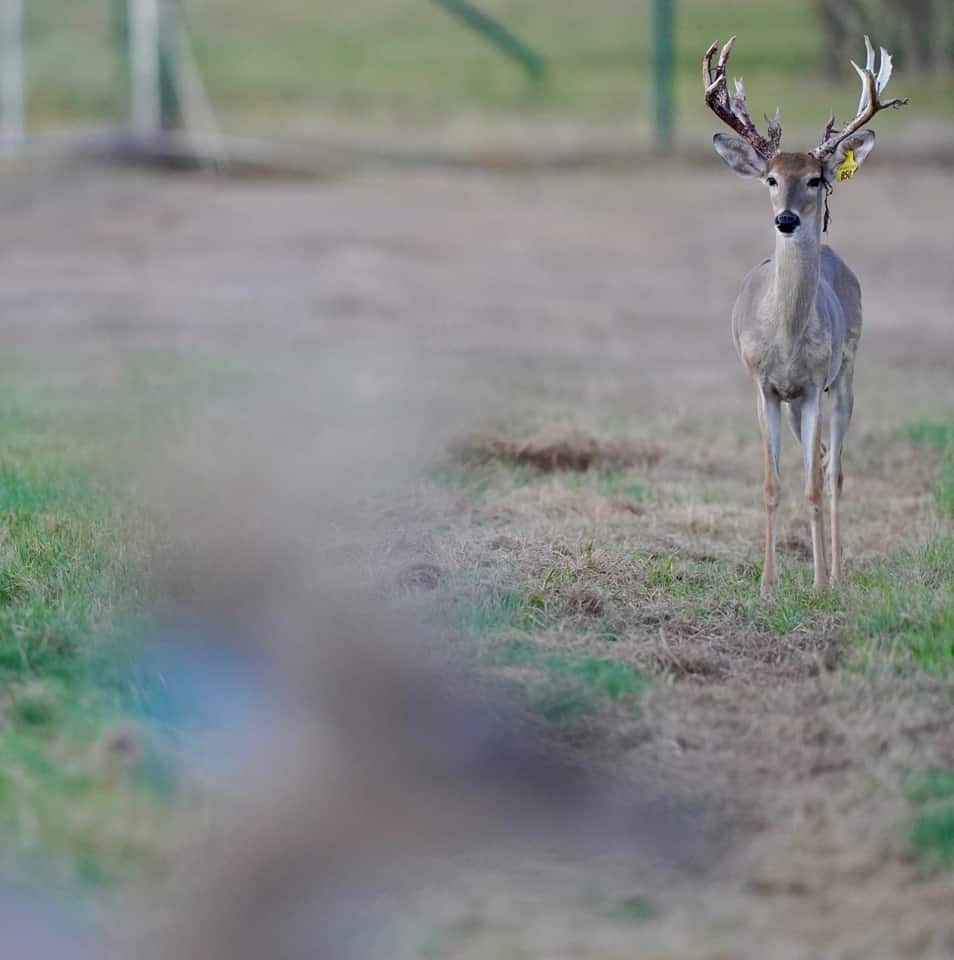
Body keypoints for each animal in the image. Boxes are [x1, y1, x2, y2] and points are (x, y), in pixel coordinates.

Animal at [704, 36, 907, 595]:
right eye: (772, 178)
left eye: (816, 179)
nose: (787, 219)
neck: (788, 339)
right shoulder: (764, 385)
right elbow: (772, 483)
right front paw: (768, 585)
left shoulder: (816, 383)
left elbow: (816, 487)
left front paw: (818, 583)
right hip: (795, 404)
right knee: (810, 463)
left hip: (846, 376)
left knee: (833, 472)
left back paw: (836, 572)